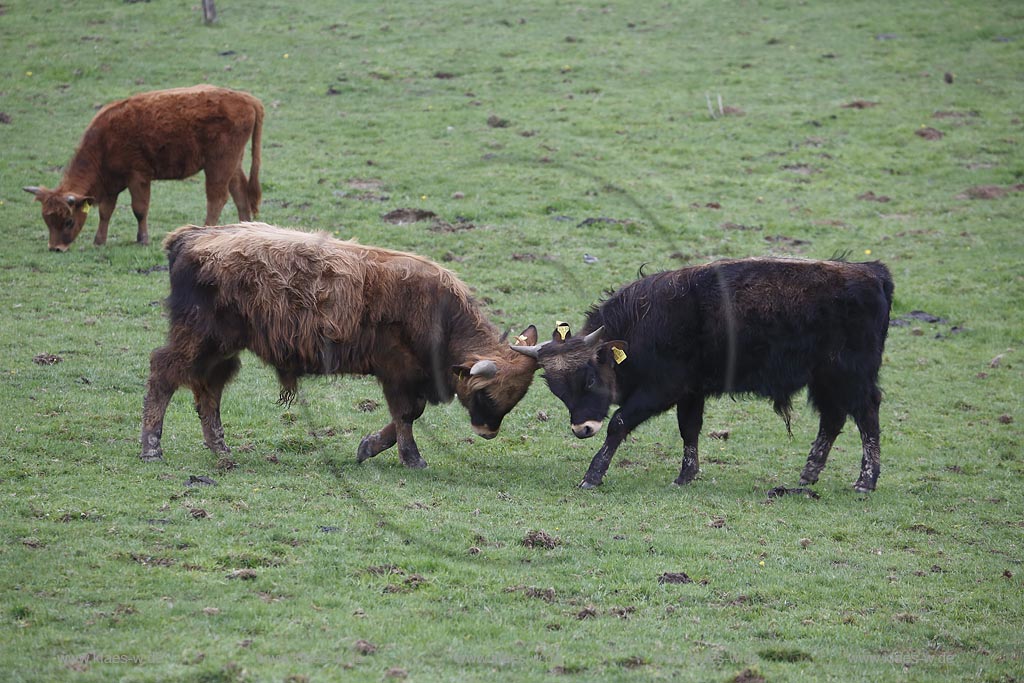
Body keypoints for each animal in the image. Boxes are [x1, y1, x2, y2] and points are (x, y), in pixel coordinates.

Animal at [25, 85, 264, 250]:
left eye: (68, 221)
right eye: (47, 220)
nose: (55, 248)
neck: (105, 141)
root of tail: (246, 98)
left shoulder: (138, 177)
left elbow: (139, 209)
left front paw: (143, 239)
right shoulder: (112, 184)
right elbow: (105, 211)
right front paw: (99, 240)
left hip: (218, 164)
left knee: (217, 198)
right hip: (232, 164)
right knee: (239, 193)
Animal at [140, 222, 540, 466]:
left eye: (513, 399)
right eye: (486, 394)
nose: (486, 432)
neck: (436, 309)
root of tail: (193, 235)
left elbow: (407, 414)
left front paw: (370, 446)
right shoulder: (397, 371)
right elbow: (407, 414)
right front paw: (410, 457)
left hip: (220, 348)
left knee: (209, 389)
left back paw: (220, 448)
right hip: (197, 338)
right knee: (164, 373)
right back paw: (152, 447)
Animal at [516, 260, 892, 491]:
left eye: (590, 379)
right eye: (558, 391)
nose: (582, 429)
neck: (643, 322)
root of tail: (871, 273)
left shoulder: (662, 389)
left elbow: (619, 422)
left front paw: (593, 475)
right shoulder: (691, 393)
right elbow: (689, 429)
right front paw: (686, 475)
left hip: (851, 377)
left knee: (867, 416)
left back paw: (866, 481)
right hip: (826, 380)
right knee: (833, 418)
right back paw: (809, 473)